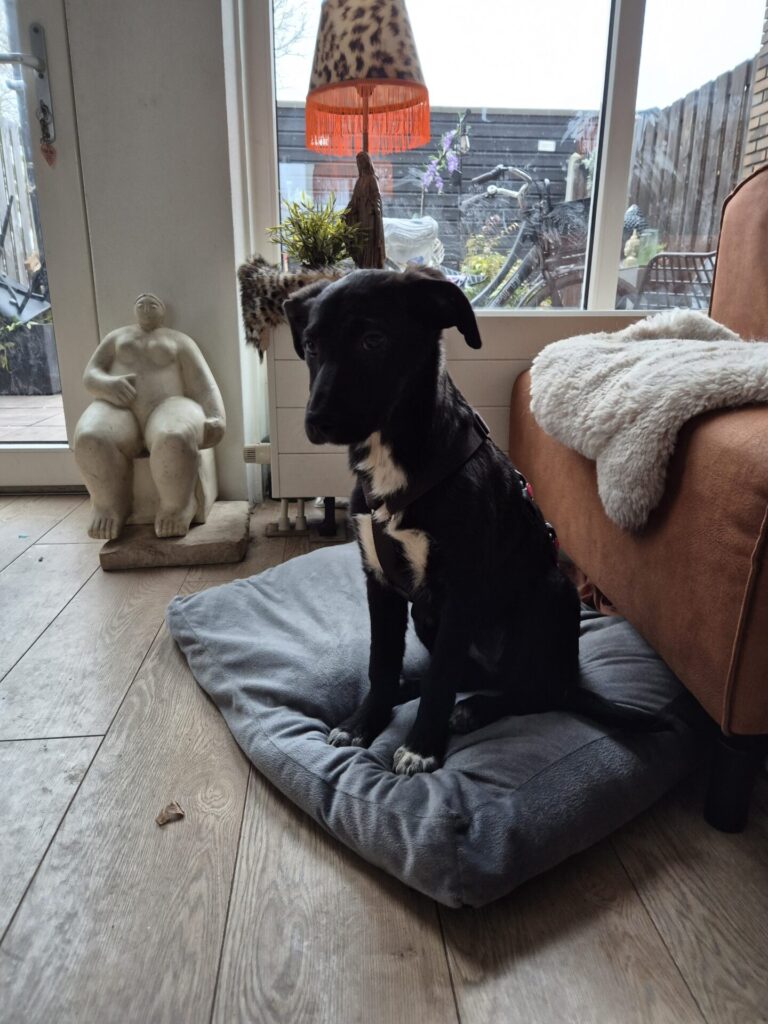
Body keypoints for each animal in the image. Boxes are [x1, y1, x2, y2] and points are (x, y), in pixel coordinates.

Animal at [285, 269, 657, 776]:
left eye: (372, 340)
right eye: (311, 346)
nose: (316, 421)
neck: (396, 460)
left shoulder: (460, 592)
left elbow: (441, 677)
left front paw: (422, 746)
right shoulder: (379, 582)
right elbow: (382, 662)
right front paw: (366, 720)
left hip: (550, 595)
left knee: (536, 692)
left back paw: (477, 708)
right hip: (427, 615)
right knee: (477, 673)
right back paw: (415, 690)